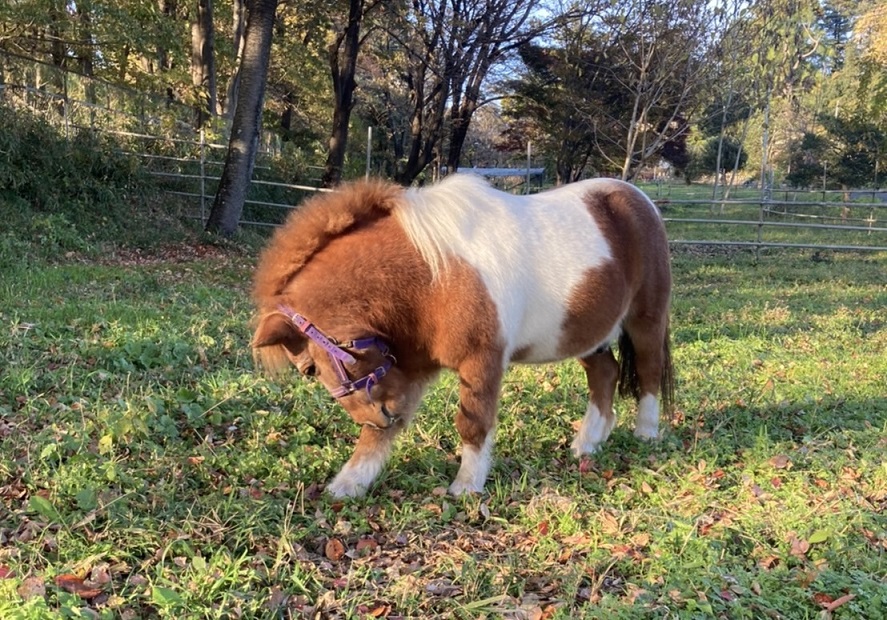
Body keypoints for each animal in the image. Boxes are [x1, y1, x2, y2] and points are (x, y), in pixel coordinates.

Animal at [250, 173, 672, 498]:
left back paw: (646, 434)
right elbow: (379, 437)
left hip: (646, 321)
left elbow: (472, 423)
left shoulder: (481, 361)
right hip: (588, 335)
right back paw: (587, 443)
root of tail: (639, 200)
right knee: (605, 374)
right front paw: (349, 483)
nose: (377, 417)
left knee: (649, 371)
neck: (435, 278)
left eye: (311, 367)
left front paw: (467, 486)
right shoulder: (409, 368)